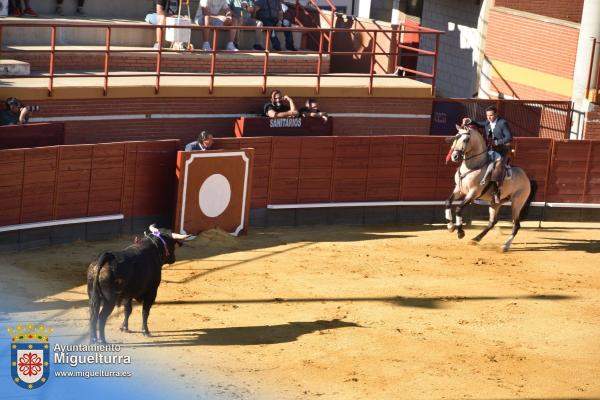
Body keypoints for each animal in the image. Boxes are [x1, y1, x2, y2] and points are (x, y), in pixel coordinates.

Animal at [442, 123, 536, 252]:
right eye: (456, 137)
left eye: (466, 139)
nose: (455, 156)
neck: (473, 166)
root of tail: (527, 179)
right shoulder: (459, 190)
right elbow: (448, 202)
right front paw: (450, 226)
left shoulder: (473, 193)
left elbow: (459, 209)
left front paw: (460, 232)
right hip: (496, 202)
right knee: (492, 222)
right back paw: (475, 239)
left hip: (517, 203)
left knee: (516, 225)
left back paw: (505, 246)